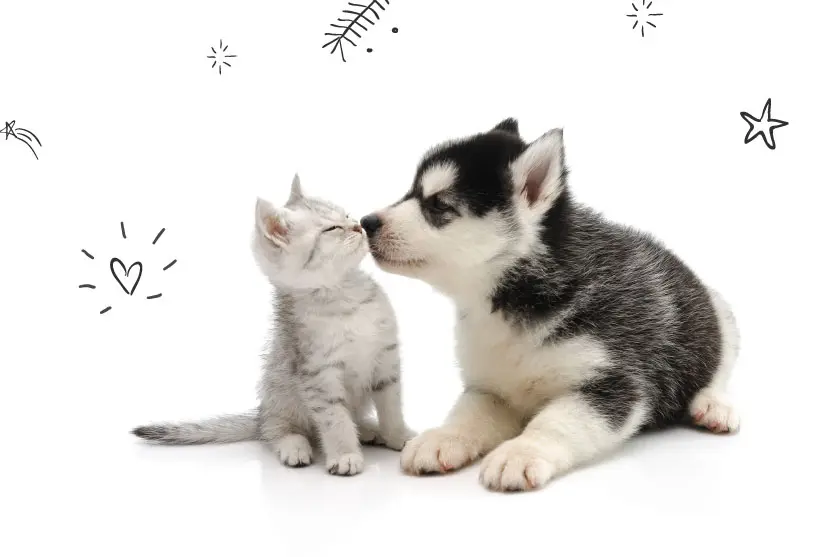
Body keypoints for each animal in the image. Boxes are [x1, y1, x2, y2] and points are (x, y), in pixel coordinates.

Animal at [132, 176, 416, 476]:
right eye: (332, 228)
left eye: (347, 215)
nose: (359, 225)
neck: (346, 295)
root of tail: (261, 413)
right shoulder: (319, 375)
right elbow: (335, 419)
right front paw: (345, 454)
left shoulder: (386, 360)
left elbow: (392, 407)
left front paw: (398, 436)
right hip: (280, 399)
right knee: (277, 431)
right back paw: (295, 447)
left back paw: (369, 429)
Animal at [358, 118, 740, 490]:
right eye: (411, 192)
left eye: (437, 204)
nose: (366, 222)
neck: (513, 298)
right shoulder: (490, 388)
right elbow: (468, 412)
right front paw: (442, 437)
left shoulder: (614, 381)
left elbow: (556, 421)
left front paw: (521, 453)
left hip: (720, 315)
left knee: (718, 369)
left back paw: (713, 405)